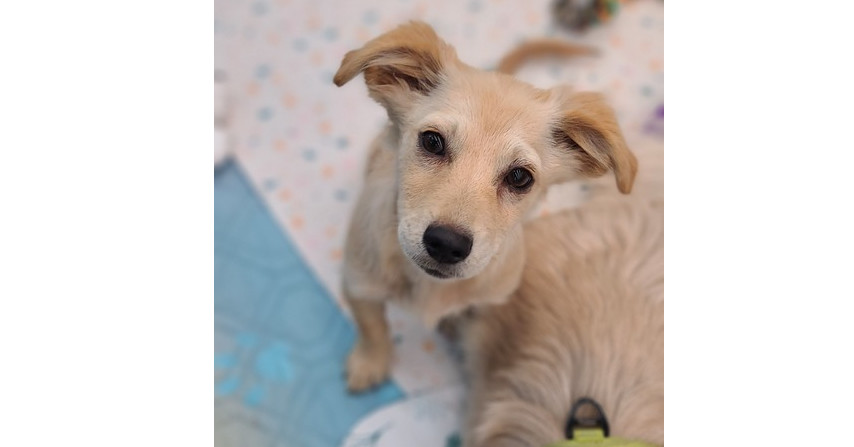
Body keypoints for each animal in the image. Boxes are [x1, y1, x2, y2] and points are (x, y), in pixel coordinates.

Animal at [332, 21, 636, 392]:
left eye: (519, 177)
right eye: (432, 141)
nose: (446, 244)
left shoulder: (491, 301)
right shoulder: (358, 283)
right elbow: (373, 329)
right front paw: (370, 362)